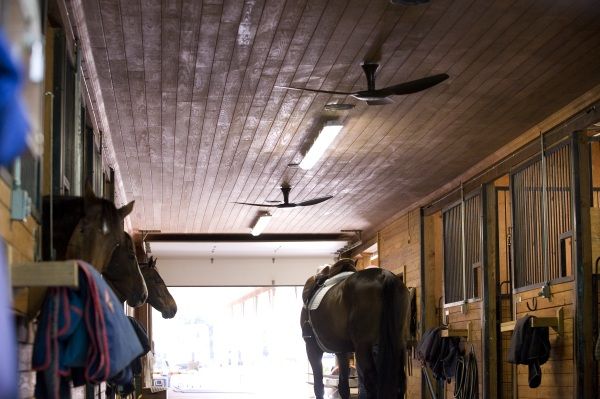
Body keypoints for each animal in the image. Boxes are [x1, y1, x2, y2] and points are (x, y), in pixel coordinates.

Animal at [302, 262, 410, 399]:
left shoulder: (312, 348)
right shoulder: (342, 352)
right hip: (398, 344)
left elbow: (318, 386)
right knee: (400, 383)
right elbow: (343, 387)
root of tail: (384, 275)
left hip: (363, 348)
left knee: (372, 384)